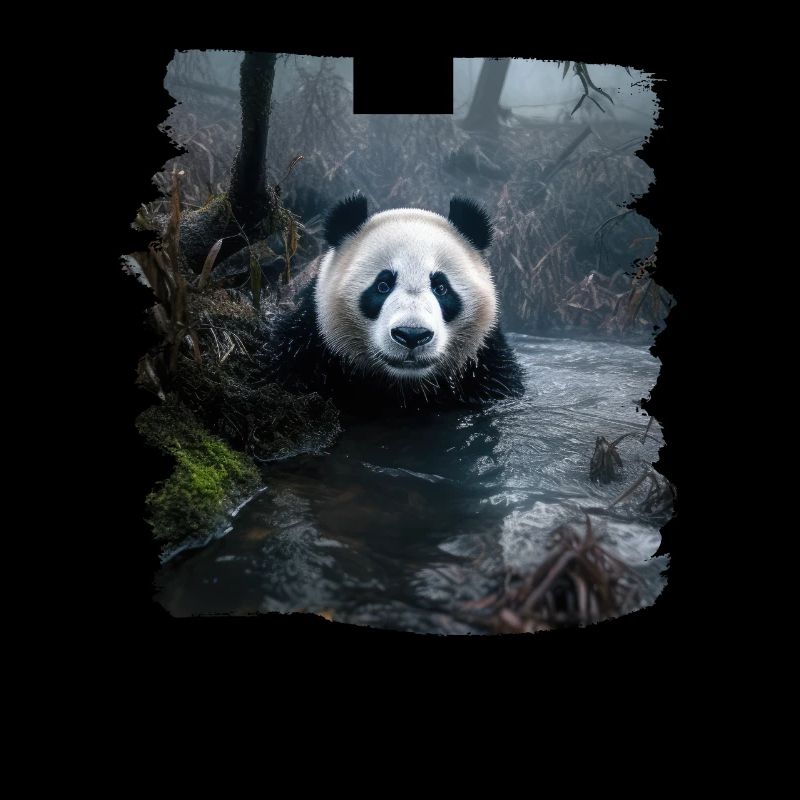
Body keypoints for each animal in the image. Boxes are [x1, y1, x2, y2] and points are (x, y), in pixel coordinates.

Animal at [270, 194, 524, 413]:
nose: (412, 334)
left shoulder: (487, 367)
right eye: (383, 285)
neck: (403, 387)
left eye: (441, 288)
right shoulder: (308, 345)